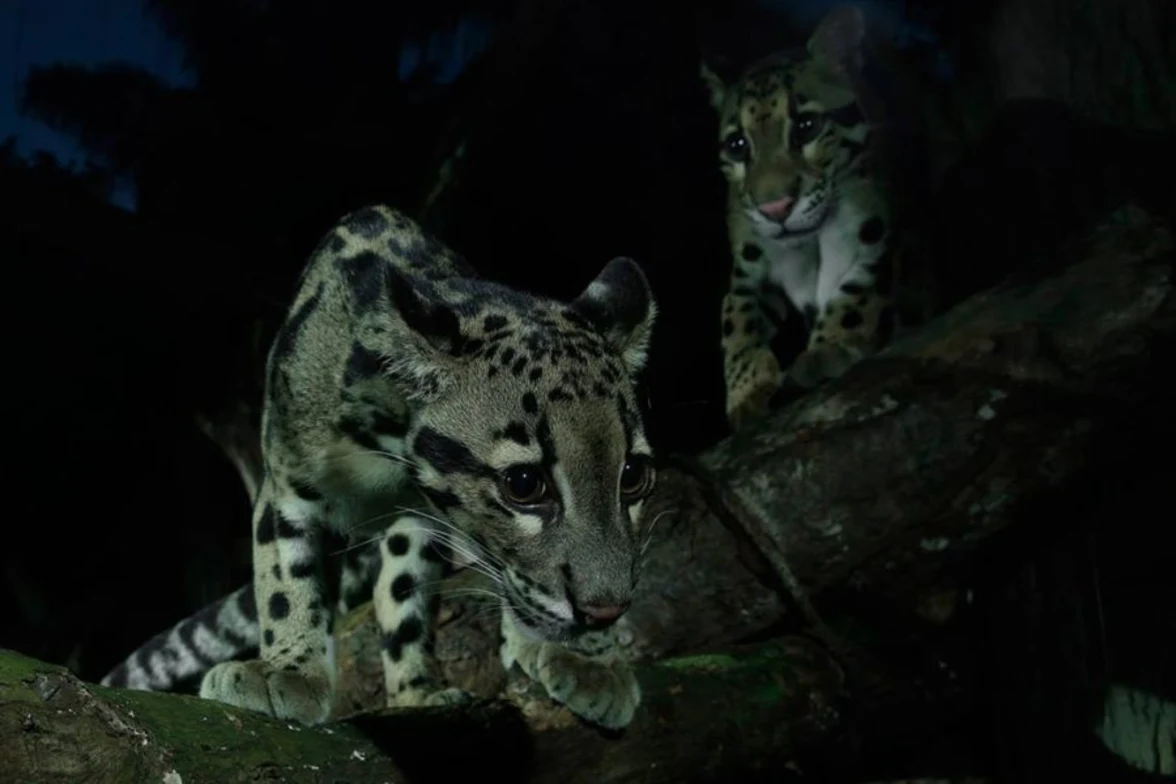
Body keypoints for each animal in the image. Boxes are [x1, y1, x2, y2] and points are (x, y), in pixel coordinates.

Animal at [100, 204, 660, 731]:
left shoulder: (421, 523)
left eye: (633, 475)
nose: (606, 612)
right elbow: (285, 574)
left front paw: (582, 659)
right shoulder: (286, 478)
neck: (391, 454)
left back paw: (419, 694)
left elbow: (417, 600)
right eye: (524, 484)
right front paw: (287, 671)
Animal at [703, 5, 930, 431]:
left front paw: (830, 348)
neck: (808, 244)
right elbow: (736, 317)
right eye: (738, 145)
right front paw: (747, 389)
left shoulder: (878, 230)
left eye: (807, 127)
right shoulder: (747, 265)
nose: (775, 209)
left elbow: (860, 291)